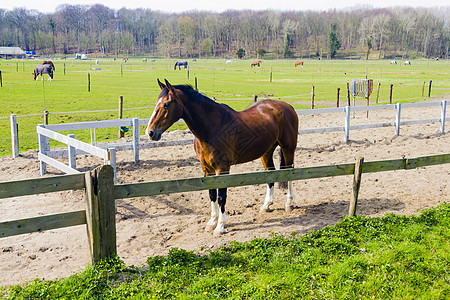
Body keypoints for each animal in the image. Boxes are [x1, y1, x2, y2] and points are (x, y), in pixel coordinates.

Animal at [145, 78, 298, 236]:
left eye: (166, 104)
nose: (150, 132)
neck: (211, 129)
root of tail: (288, 106)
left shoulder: (222, 169)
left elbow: (221, 197)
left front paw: (220, 226)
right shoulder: (207, 169)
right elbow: (212, 194)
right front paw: (212, 222)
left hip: (288, 149)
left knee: (291, 173)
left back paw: (289, 204)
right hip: (266, 152)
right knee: (271, 174)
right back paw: (266, 205)